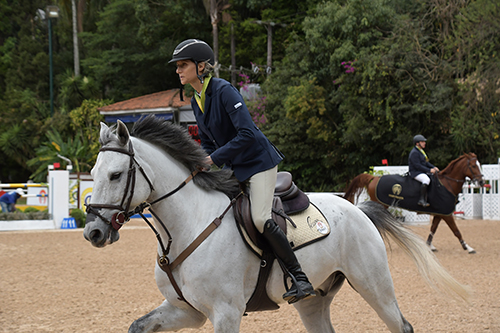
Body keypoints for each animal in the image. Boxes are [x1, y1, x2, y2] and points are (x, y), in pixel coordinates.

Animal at [84, 115, 470, 330]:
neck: (186, 227)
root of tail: (357, 210)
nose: (93, 232)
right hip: (315, 300)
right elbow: (138, 326)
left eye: (116, 175)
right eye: (93, 173)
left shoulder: (225, 312)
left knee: (401, 325)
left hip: (374, 285)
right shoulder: (185, 310)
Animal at [344, 152, 484, 252]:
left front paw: (429, 246)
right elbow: (456, 231)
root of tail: (373, 178)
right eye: (473, 166)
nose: (482, 182)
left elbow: (433, 229)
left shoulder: (440, 214)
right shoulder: (447, 215)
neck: (447, 184)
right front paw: (468, 247)